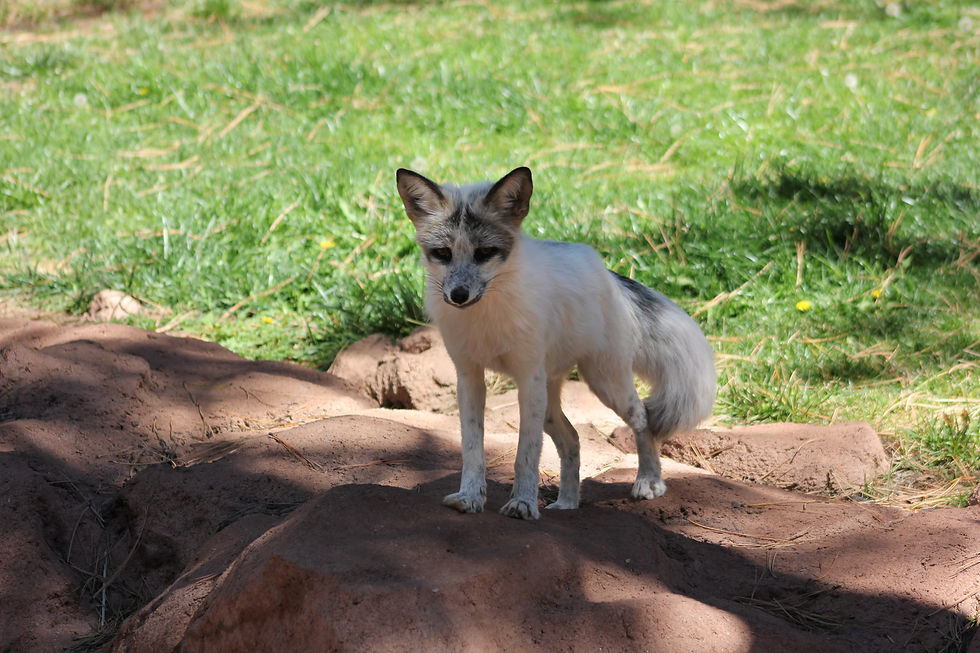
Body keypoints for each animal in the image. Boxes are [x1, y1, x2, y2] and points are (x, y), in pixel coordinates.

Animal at [396, 166, 716, 520]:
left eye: (484, 253)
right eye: (442, 253)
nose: (458, 295)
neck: (487, 318)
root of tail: (605, 273)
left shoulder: (527, 379)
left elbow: (526, 453)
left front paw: (522, 503)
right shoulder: (469, 378)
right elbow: (472, 449)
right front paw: (470, 497)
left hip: (605, 385)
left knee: (643, 419)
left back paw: (649, 481)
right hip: (550, 402)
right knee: (573, 438)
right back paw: (567, 503)